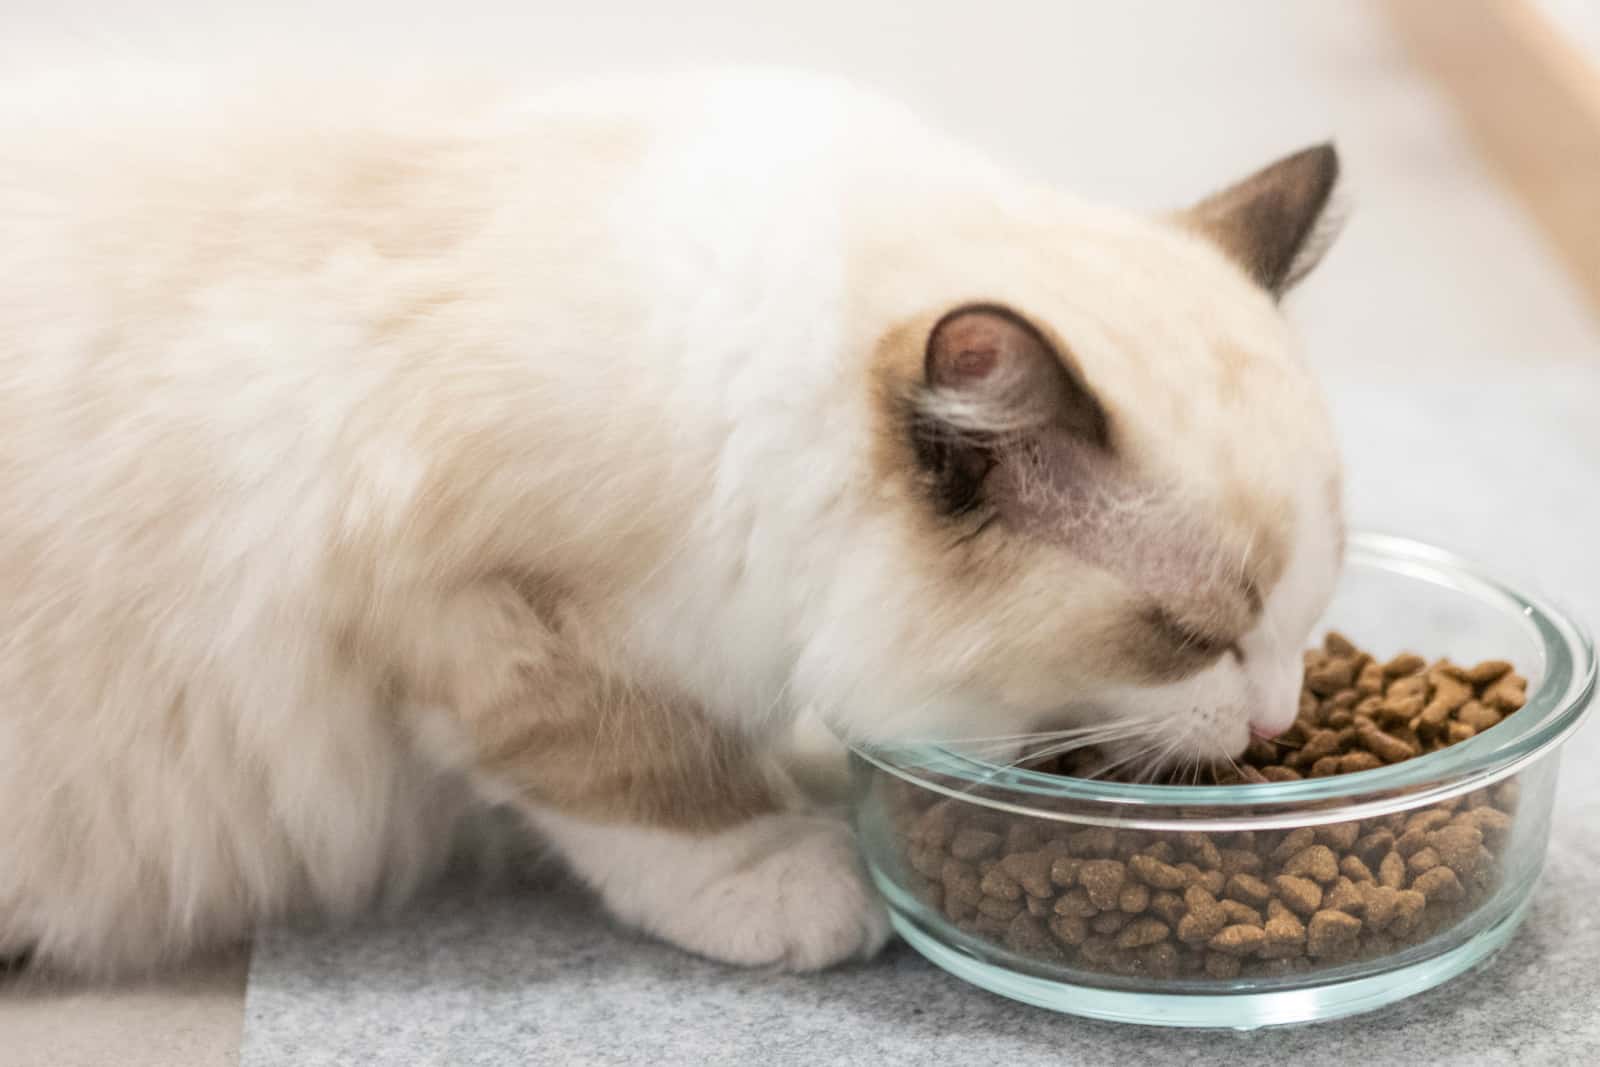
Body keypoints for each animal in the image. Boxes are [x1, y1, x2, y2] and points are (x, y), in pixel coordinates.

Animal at [0, 68, 1350, 979]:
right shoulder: (475, 605)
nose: (1274, 717)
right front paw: (788, 873)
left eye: (1301, 625)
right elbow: (638, 772)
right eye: (1192, 636)